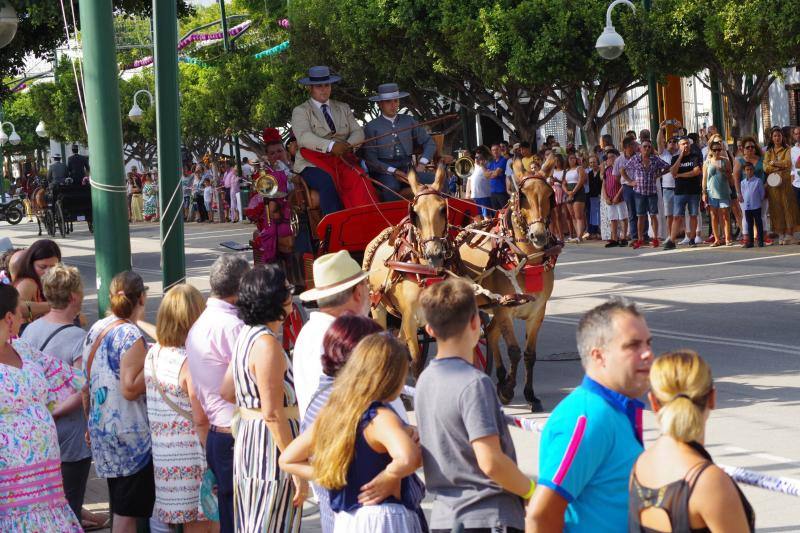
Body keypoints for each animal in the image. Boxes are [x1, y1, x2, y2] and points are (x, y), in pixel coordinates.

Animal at [362, 164, 450, 376]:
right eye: (415, 213)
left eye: (443, 209)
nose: (434, 253)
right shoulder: (410, 320)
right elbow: (416, 363)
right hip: (377, 308)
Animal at [454, 156, 560, 410]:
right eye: (523, 196)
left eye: (549, 195)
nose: (538, 235)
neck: (527, 259)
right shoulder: (505, 310)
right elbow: (514, 350)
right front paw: (507, 391)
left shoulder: (537, 312)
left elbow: (529, 354)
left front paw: (530, 395)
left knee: (491, 333)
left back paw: (500, 375)